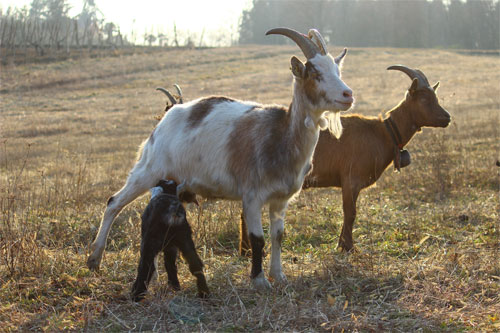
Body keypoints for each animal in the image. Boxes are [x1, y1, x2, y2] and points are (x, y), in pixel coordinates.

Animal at [86, 27, 354, 290]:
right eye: (315, 73)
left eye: (337, 70)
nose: (347, 94)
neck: (281, 135)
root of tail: (164, 120)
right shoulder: (252, 196)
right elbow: (257, 239)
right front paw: (259, 280)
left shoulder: (281, 200)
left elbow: (278, 236)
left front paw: (279, 276)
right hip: (149, 169)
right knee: (114, 202)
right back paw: (94, 260)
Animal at [240, 64, 452, 252]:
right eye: (423, 98)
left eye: (435, 97)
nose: (446, 118)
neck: (383, 132)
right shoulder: (351, 179)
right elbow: (350, 213)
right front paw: (347, 247)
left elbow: (349, 213)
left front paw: (343, 244)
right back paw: (248, 250)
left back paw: (245, 250)